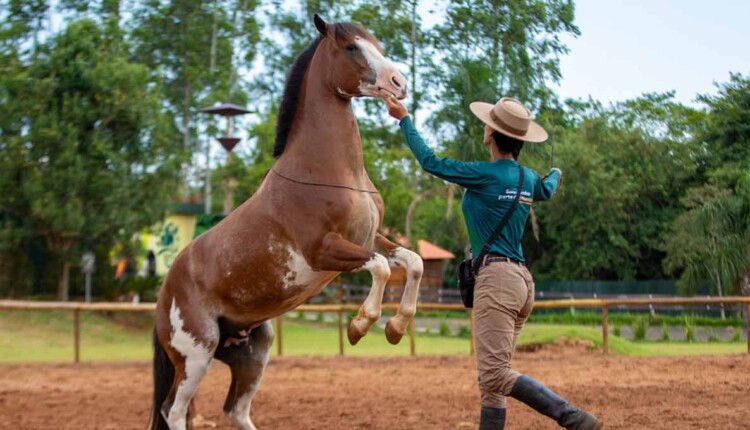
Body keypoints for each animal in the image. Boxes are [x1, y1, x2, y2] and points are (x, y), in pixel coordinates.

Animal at [148, 13, 424, 430]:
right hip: (196, 355)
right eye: (351, 47)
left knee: (235, 410)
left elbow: (412, 262)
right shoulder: (325, 250)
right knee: (173, 411)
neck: (329, 171)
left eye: (375, 43)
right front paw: (359, 326)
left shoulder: (371, 238)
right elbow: (379, 268)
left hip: (252, 351)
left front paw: (395, 328)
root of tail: (165, 293)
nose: (398, 83)